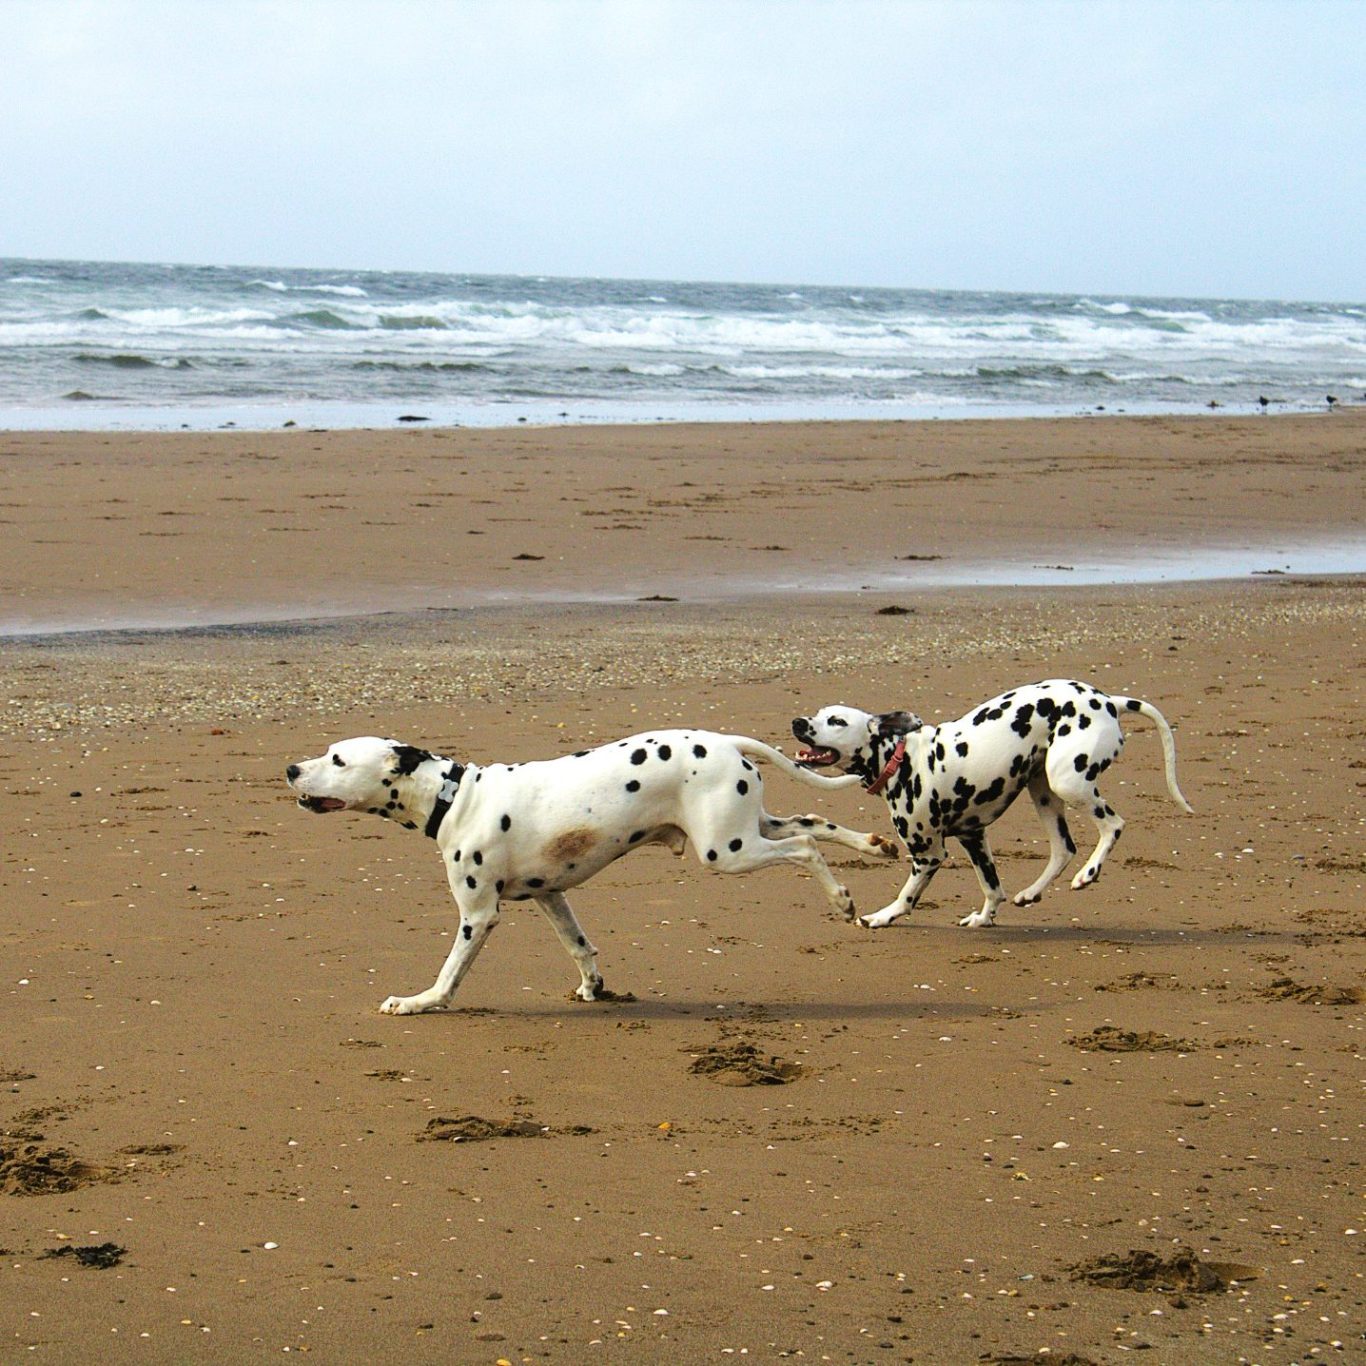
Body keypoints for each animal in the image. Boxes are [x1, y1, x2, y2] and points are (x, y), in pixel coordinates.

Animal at [286, 730, 895, 1014]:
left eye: (337, 759)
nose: (291, 768)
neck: (455, 797)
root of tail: (725, 741)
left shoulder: (478, 915)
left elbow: (449, 973)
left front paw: (419, 1002)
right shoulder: (550, 895)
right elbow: (579, 946)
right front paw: (592, 987)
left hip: (727, 850)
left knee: (805, 847)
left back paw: (842, 898)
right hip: (744, 829)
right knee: (813, 822)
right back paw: (874, 846)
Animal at [791, 680, 1192, 928]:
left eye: (836, 721)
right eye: (819, 714)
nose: (797, 721)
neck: (901, 759)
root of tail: (1108, 700)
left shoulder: (929, 854)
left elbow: (907, 896)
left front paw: (881, 917)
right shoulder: (973, 837)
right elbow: (992, 887)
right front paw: (984, 918)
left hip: (1068, 782)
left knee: (1113, 825)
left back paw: (1088, 874)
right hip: (1043, 792)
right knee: (1063, 849)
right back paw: (1031, 893)